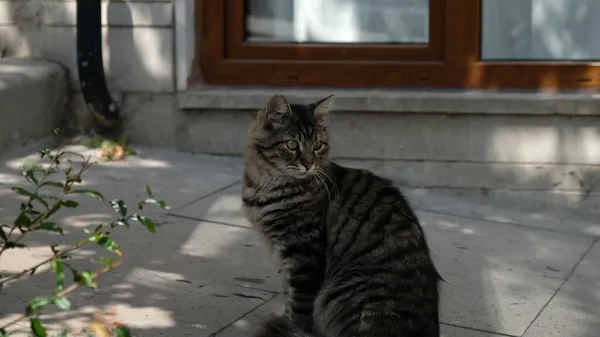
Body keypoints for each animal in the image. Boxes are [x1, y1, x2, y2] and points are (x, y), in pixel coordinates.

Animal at [241, 93, 442, 334]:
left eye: (317, 145)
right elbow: (288, 297)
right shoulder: (283, 253)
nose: (308, 165)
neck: (265, 185)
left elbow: (298, 307)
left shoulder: (303, 253)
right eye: (291, 144)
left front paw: (289, 327)